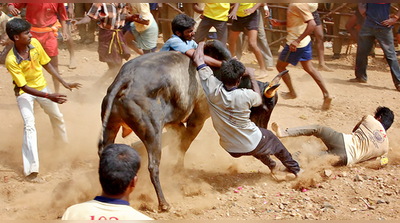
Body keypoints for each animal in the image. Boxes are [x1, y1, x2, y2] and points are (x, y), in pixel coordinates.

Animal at [100, 39, 288, 211]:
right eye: (265, 108)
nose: (261, 131)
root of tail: (126, 79)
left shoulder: (175, 122)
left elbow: (178, 140)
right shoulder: (198, 118)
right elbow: (184, 144)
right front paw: (178, 171)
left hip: (111, 127)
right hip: (152, 133)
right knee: (153, 166)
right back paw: (164, 203)